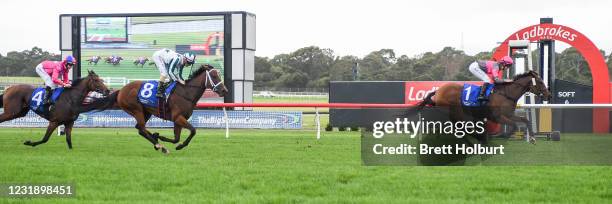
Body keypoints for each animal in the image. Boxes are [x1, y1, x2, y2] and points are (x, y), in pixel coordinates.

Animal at [93, 64, 230, 154]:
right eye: (214, 75)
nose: (224, 90)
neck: (186, 93)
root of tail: (121, 90)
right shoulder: (178, 117)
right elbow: (193, 130)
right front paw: (179, 146)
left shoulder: (178, 120)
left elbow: (176, 138)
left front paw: (162, 137)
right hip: (136, 109)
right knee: (141, 128)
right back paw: (159, 145)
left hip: (146, 112)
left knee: (140, 129)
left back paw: (157, 141)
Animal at [418, 70, 552, 143]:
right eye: (540, 82)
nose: (549, 95)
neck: (506, 94)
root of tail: (438, 91)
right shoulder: (497, 117)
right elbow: (513, 126)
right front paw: (502, 136)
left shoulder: (509, 114)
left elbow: (525, 120)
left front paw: (533, 138)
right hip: (455, 113)